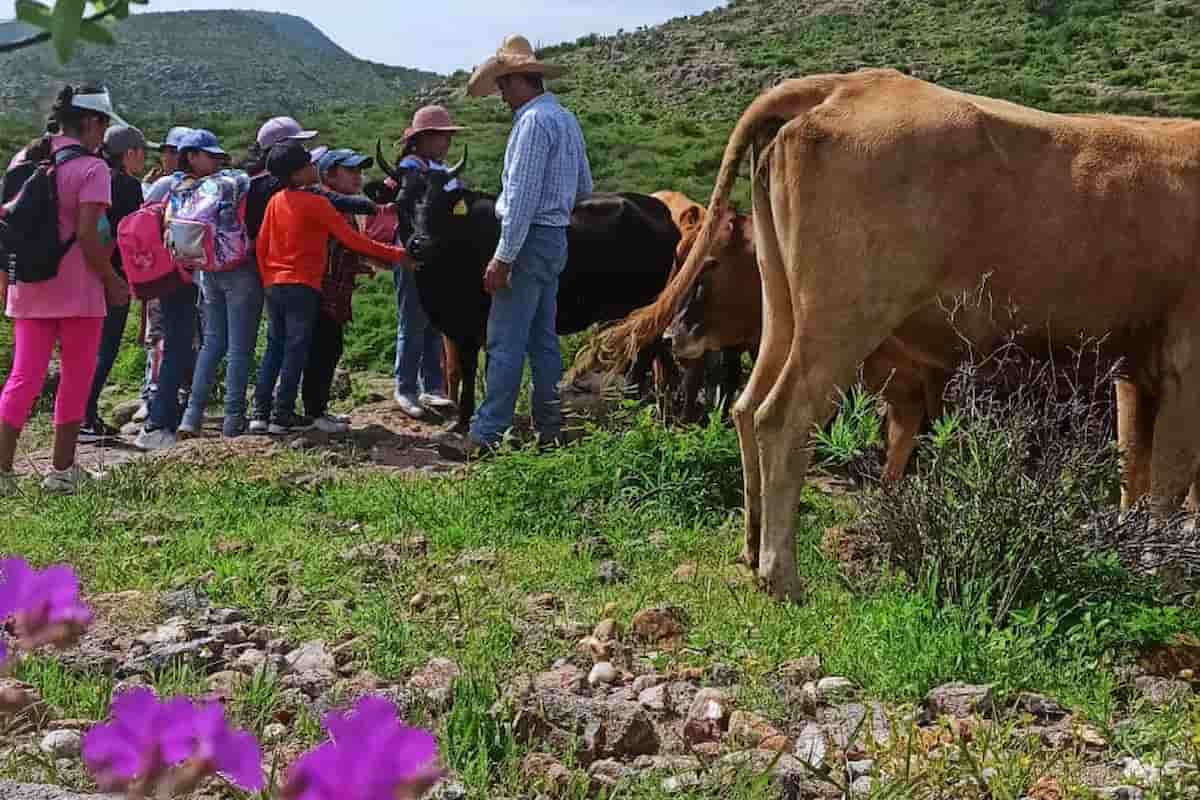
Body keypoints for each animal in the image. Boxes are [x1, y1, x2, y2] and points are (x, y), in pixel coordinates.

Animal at [369, 143, 681, 431]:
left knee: (649, 347)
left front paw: (464, 421)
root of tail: (657, 208)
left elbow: (473, 370)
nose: (422, 244)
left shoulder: (471, 327)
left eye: (442, 205)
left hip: (644, 302)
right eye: (401, 202)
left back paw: (640, 400)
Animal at [585, 70, 1200, 599]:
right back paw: (781, 576)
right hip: (844, 318)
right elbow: (1172, 485)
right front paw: (1169, 587)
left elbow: (1137, 474)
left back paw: (752, 550)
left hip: (785, 310)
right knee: (782, 418)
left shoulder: (1134, 372)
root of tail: (846, 83)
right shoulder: (1185, 365)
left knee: (745, 406)